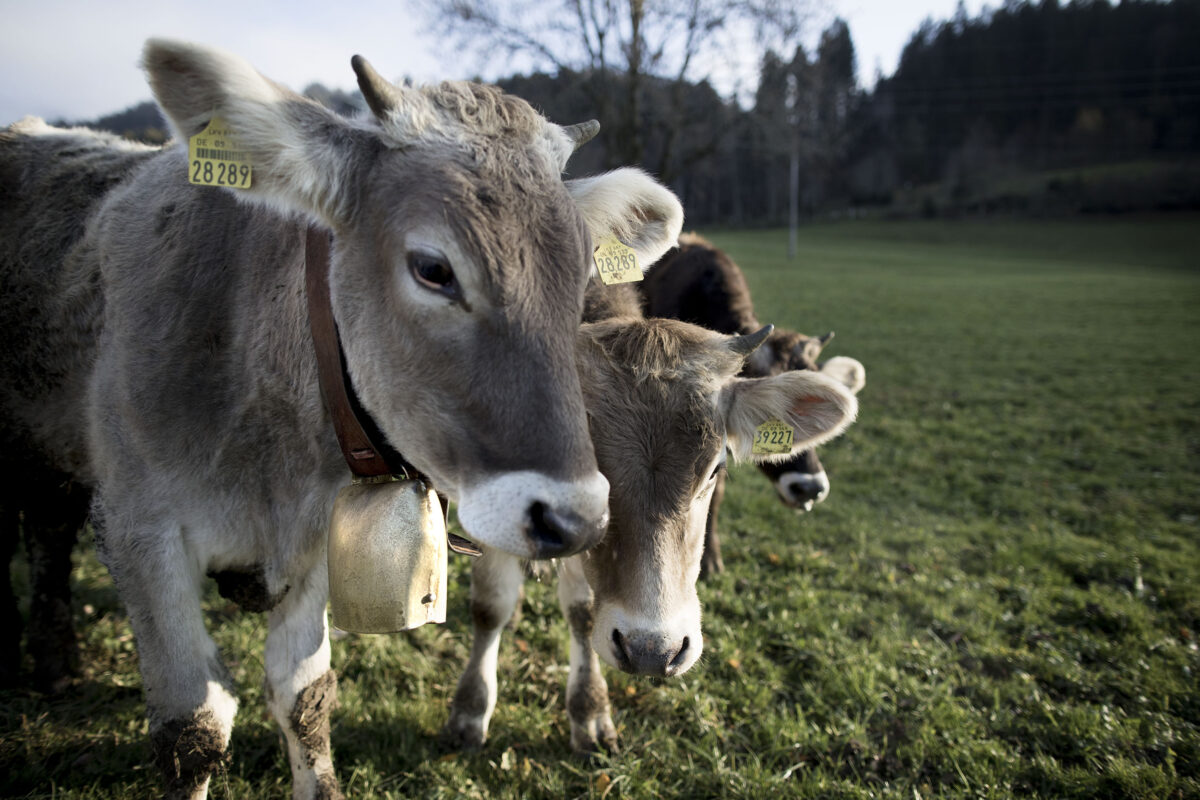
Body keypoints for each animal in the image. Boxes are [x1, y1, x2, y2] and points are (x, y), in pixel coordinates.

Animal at [2, 38, 686, 800]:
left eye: (581, 282)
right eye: (433, 269)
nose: (575, 518)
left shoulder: (310, 541)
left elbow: (304, 698)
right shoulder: (140, 528)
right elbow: (192, 727)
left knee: (47, 528)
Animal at [446, 283, 859, 758]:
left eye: (716, 469)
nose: (652, 651)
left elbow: (582, 612)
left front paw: (590, 710)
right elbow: (489, 605)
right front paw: (470, 710)